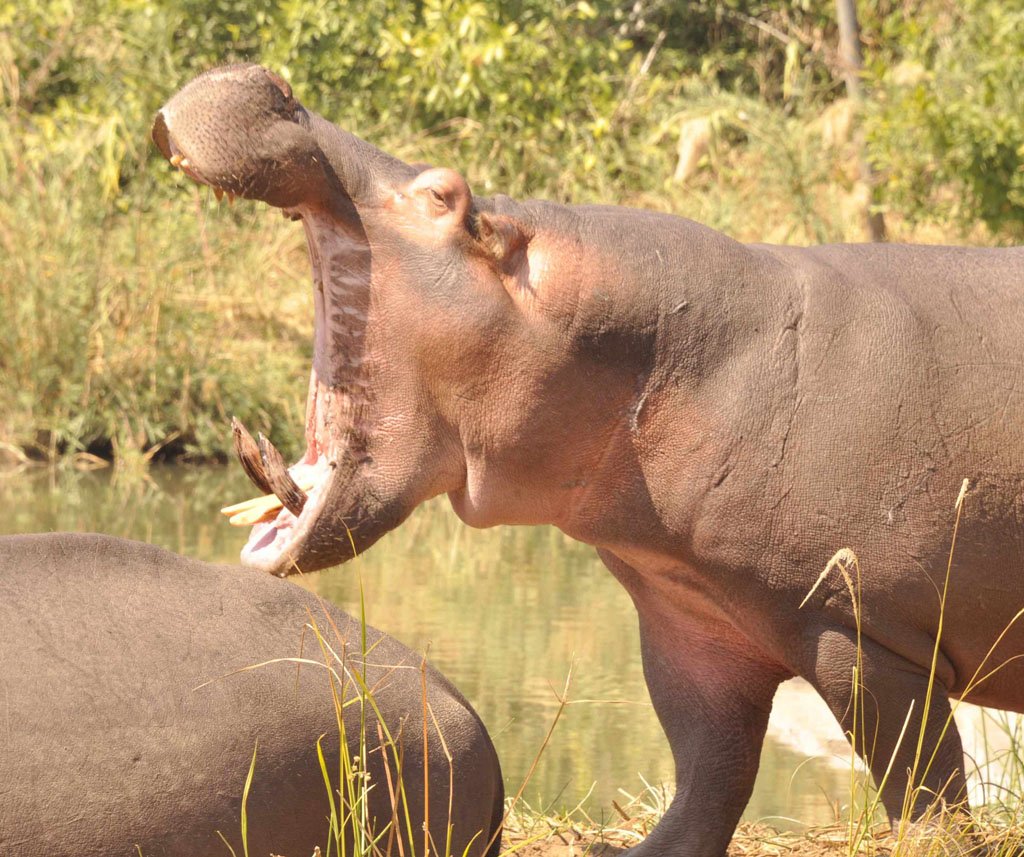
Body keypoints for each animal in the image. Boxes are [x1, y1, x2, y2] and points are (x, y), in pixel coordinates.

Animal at [152, 65, 1024, 856]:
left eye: (442, 195)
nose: (269, 81)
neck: (673, 352)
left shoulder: (857, 626)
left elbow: (919, 776)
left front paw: (928, 841)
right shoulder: (689, 625)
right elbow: (709, 772)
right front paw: (639, 849)